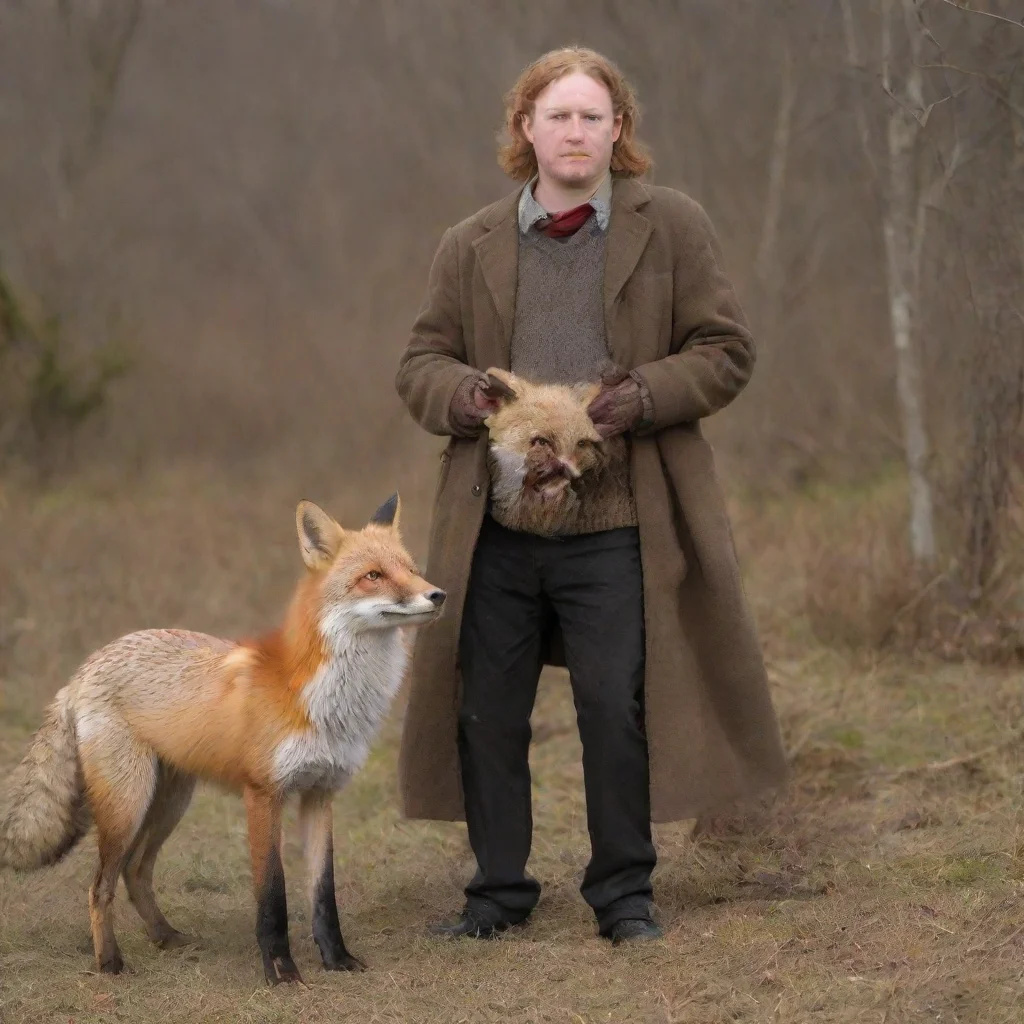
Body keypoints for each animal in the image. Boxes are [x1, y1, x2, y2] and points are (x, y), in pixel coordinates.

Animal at [0, 494, 445, 986]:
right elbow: (273, 894)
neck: (323, 701)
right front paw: (280, 972)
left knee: (135, 872)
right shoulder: (263, 795)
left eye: (411, 569)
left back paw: (165, 937)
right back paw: (111, 962)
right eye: (373, 576)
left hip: (169, 803)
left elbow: (323, 893)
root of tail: (84, 669)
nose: (438, 594)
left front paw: (337, 959)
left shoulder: (320, 794)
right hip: (128, 806)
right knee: (100, 886)